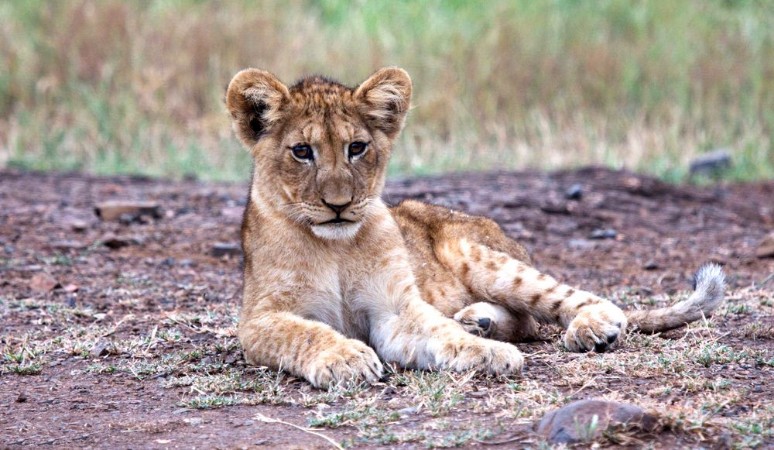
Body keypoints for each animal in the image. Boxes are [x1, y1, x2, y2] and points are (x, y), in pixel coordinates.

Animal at [225, 67, 725, 388]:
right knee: (522, 320)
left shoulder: (394, 309)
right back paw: (479, 321)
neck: (334, 246)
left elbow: (438, 332)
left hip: (479, 255)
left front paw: (489, 354)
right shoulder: (259, 319)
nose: (338, 205)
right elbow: (304, 332)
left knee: (560, 305)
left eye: (357, 147)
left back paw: (588, 326)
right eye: (302, 152)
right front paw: (346, 357)